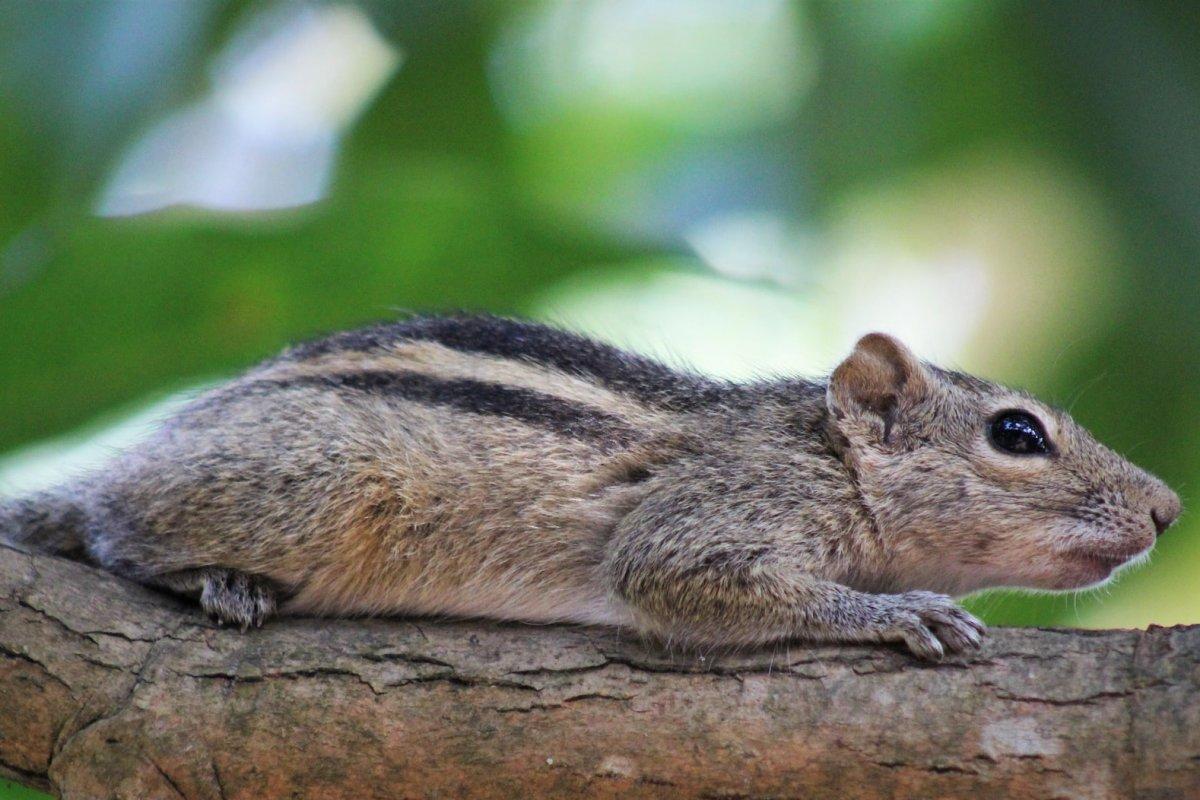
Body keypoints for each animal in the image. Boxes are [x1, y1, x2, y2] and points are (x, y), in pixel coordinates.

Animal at [0, 316, 1180, 662]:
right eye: (1017, 434)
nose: (1170, 509)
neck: (825, 459)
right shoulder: (720, 510)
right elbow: (673, 573)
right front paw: (900, 612)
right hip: (306, 487)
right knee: (112, 529)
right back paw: (219, 579)